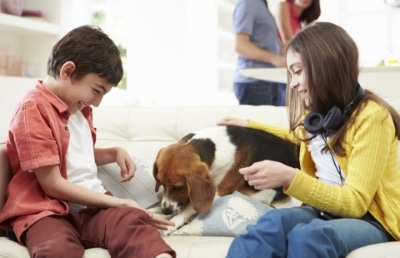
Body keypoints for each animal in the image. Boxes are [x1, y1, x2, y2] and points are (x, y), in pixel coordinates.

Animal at [153, 124, 300, 234]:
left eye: (179, 187)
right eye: (161, 184)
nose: (166, 210)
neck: (214, 148)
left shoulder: (217, 193)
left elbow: (188, 208)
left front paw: (172, 223)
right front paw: (155, 212)